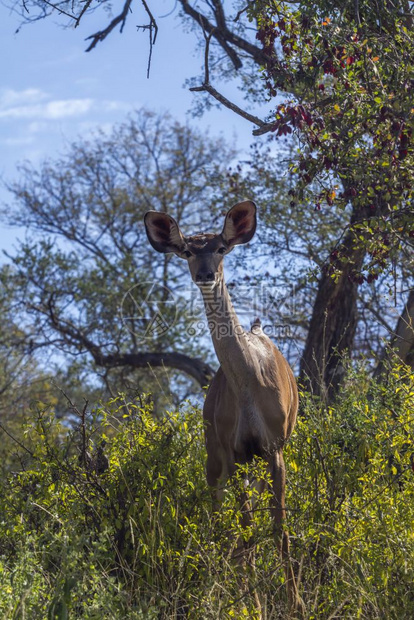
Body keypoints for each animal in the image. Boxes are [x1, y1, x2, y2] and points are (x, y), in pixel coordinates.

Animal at [144, 201, 302, 612]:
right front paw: (254, 605)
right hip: (214, 459)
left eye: (220, 248)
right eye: (187, 250)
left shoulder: (273, 446)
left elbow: (279, 527)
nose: (205, 273)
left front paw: (296, 603)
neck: (248, 384)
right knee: (220, 519)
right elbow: (246, 530)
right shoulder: (236, 451)